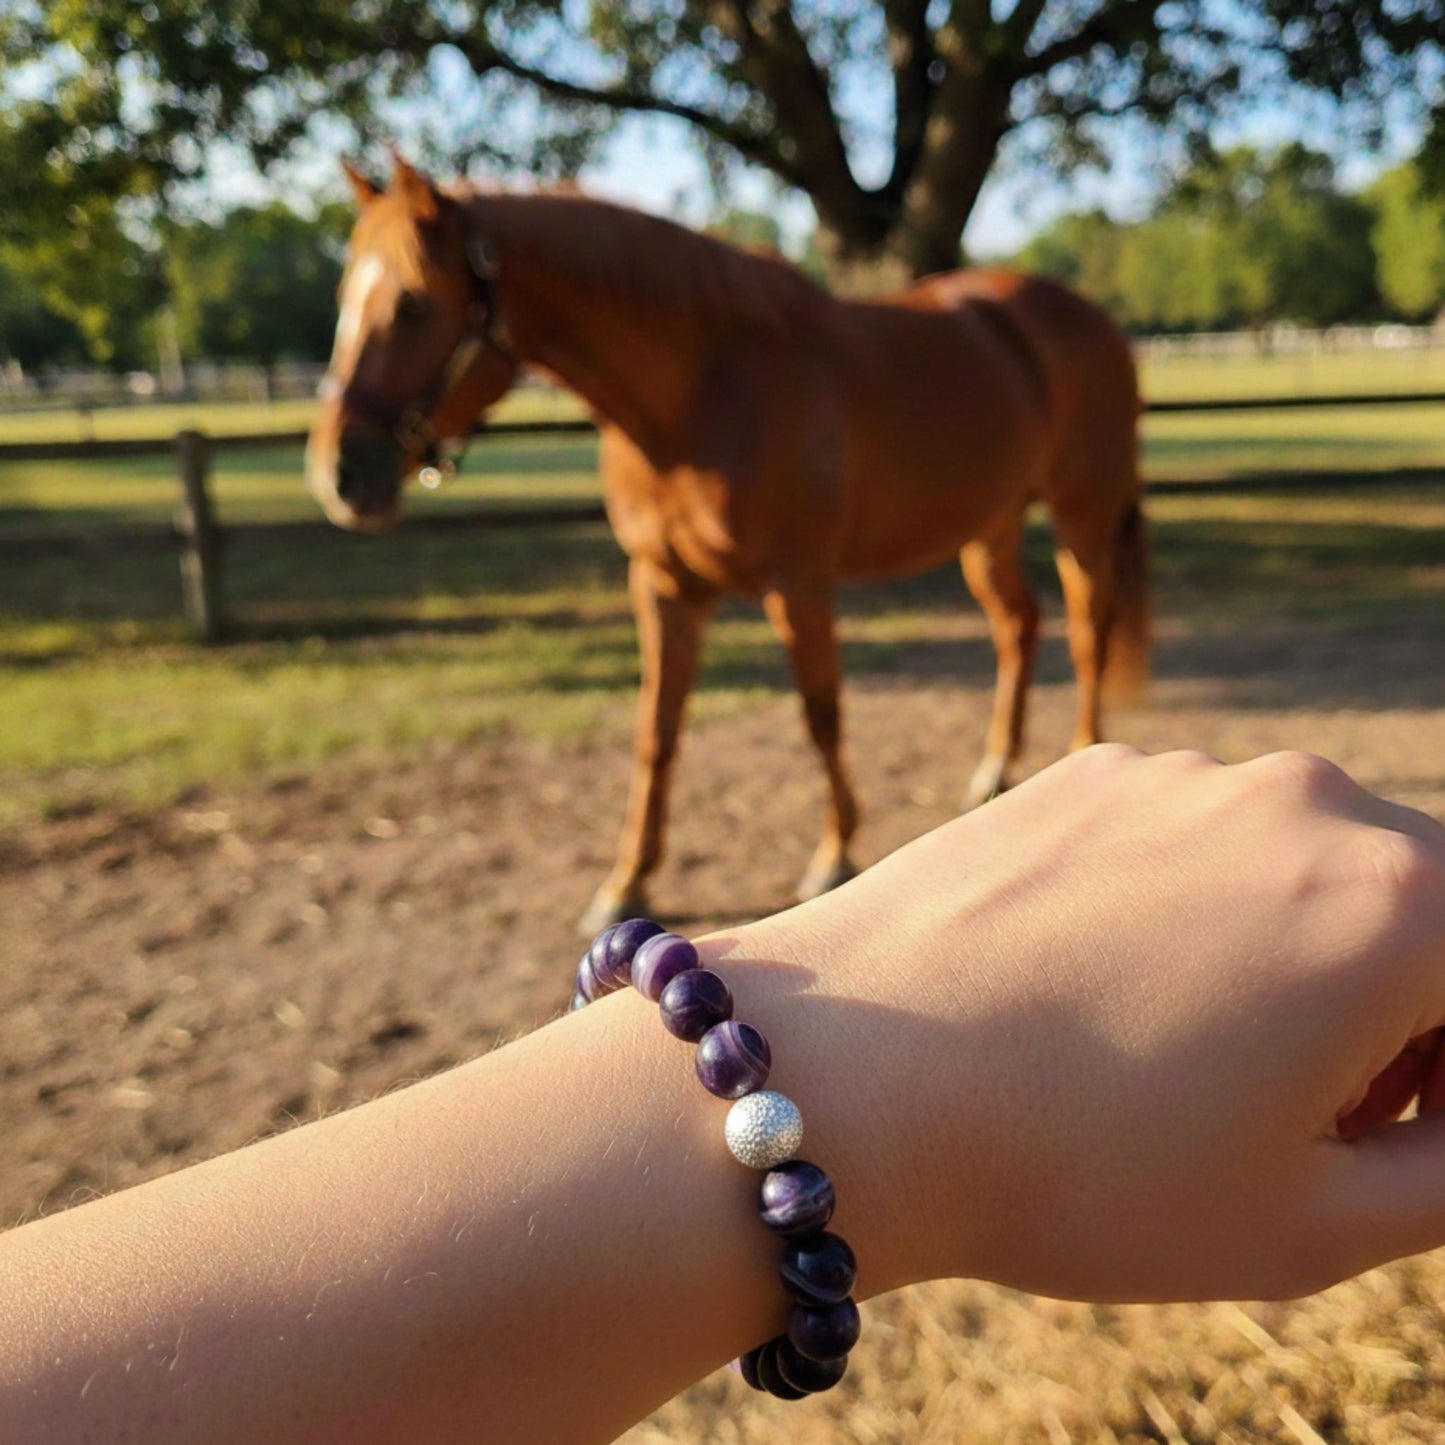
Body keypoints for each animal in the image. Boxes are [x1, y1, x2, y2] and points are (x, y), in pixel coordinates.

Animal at [306, 156, 1148, 933]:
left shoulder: (797, 586)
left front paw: (833, 853)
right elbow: (656, 730)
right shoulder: (664, 585)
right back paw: (993, 771)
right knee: (1018, 625)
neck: (699, 394)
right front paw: (625, 883)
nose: (337, 474)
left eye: (411, 304)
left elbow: (821, 716)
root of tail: (1091, 321)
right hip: (988, 528)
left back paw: (1080, 752)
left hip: (1079, 515)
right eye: (342, 300)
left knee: (1086, 629)